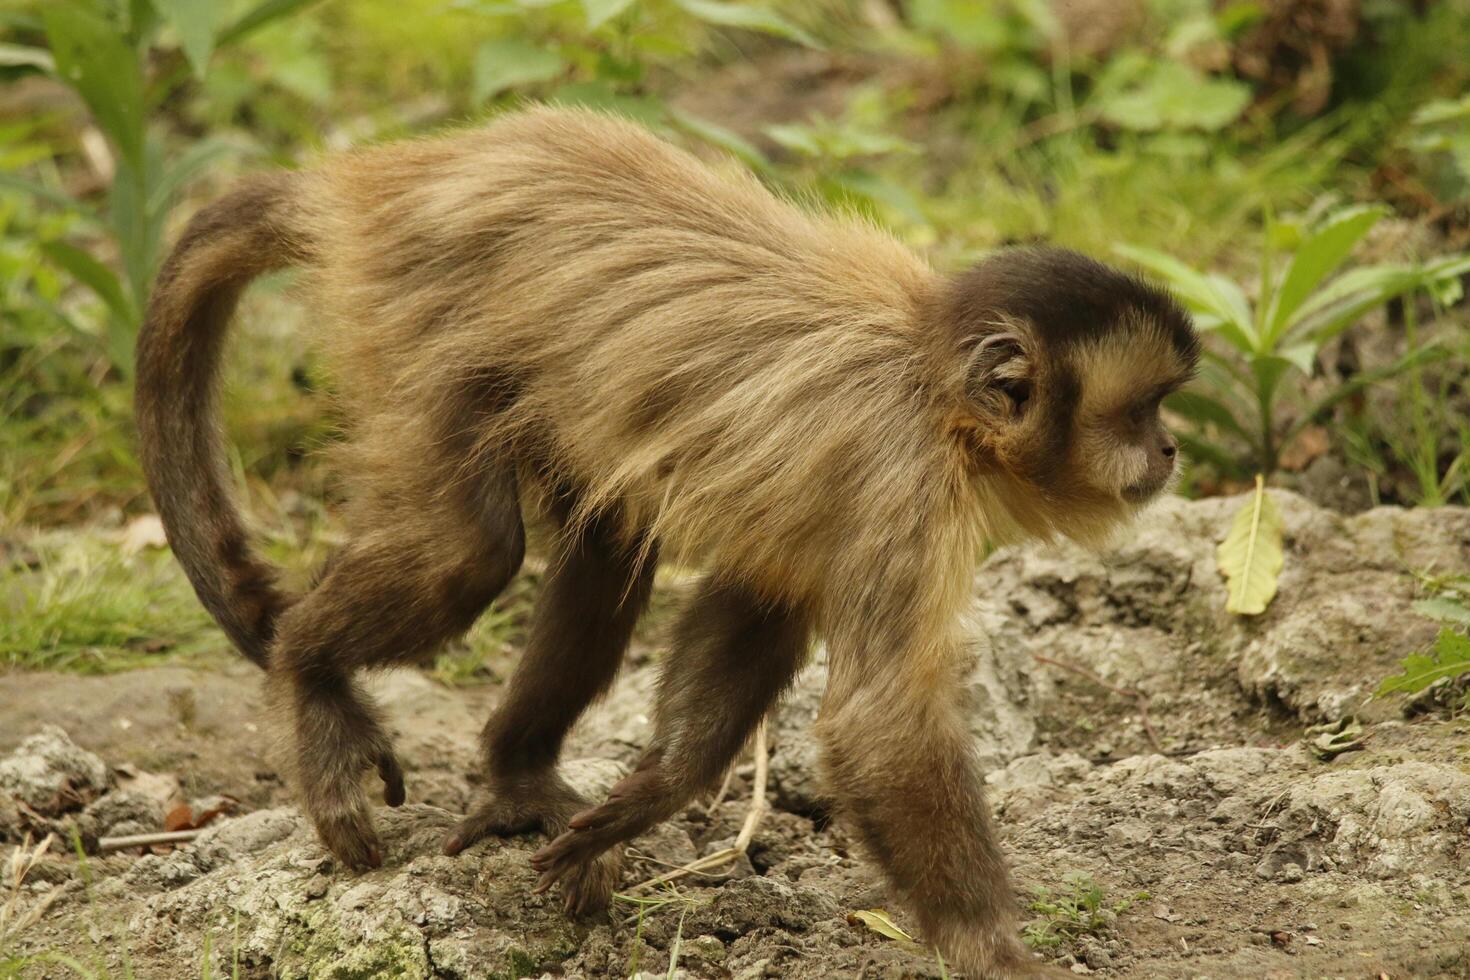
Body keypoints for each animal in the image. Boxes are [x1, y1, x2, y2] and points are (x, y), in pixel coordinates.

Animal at [135, 103, 1193, 975]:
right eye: (1140, 411)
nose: (1174, 448)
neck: (932, 385)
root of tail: (384, 177)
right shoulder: (906, 485)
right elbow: (880, 725)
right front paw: (995, 950)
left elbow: (763, 595)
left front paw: (659, 790)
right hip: (416, 317)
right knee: (469, 551)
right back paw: (307, 669)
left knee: (605, 545)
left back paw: (519, 778)